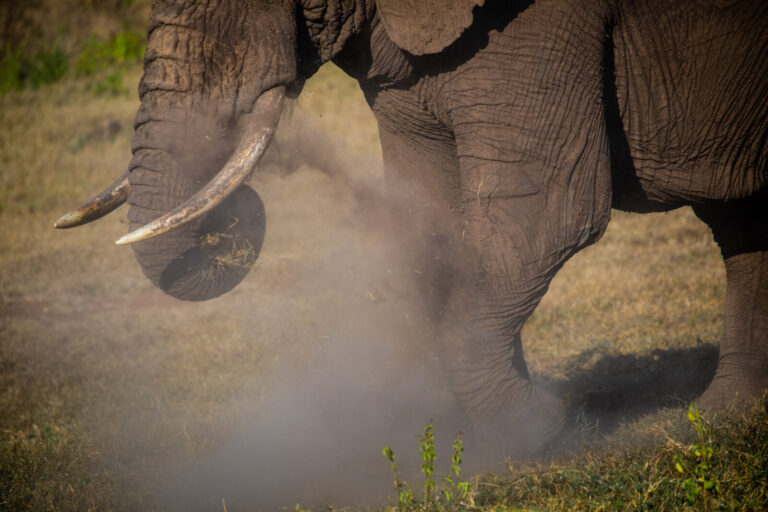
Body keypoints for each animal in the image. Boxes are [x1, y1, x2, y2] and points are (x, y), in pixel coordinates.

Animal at [56, 0, 768, 453]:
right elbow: (428, 216)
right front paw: (480, 434)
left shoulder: (545, 25)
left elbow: (544, 211)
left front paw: (534, 431)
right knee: (744, 225)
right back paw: (724, 420)